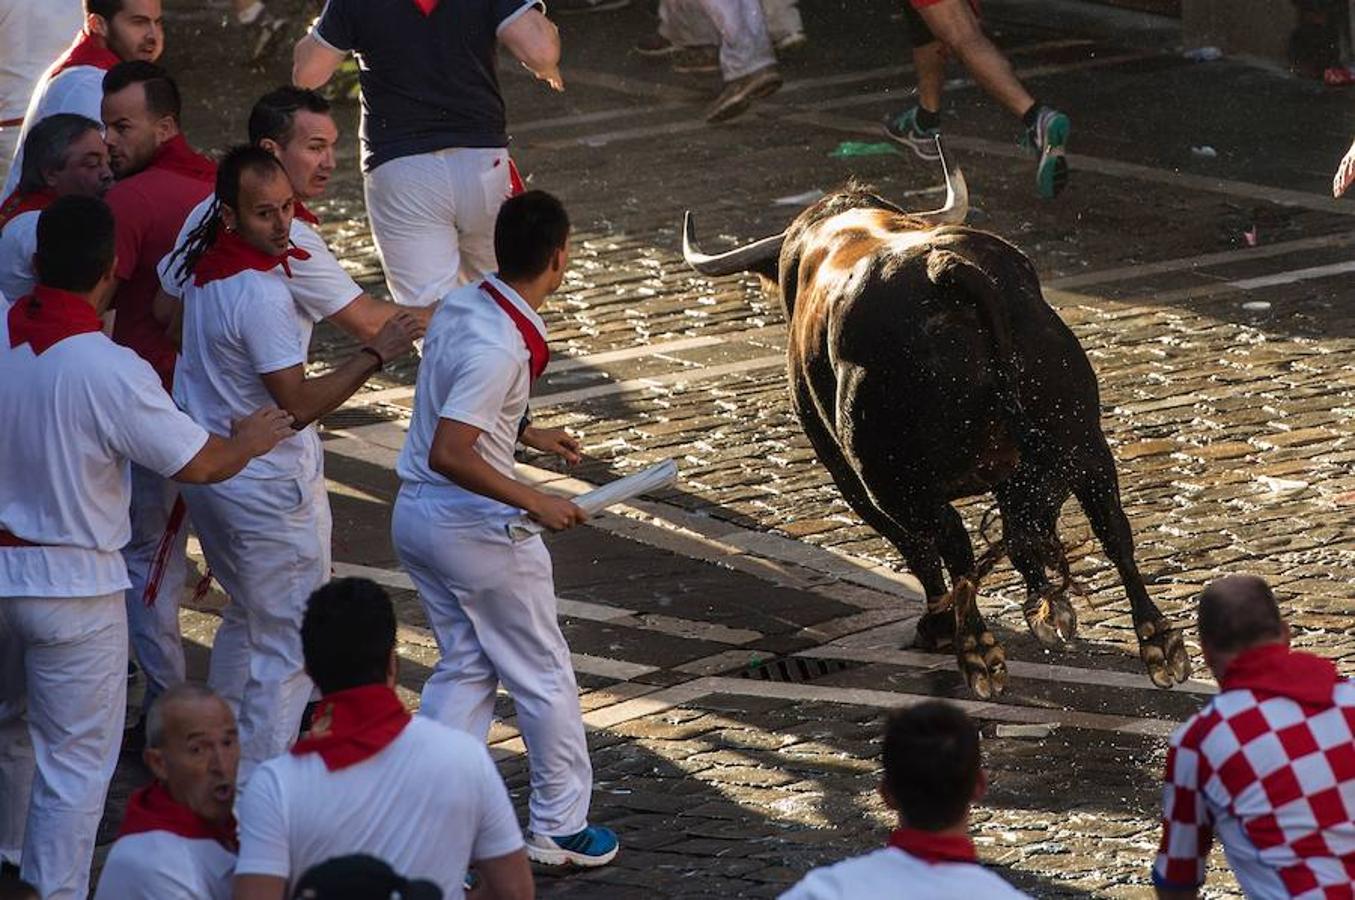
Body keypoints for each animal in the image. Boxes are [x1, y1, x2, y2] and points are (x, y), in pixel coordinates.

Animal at [682, 144, 1192, 699]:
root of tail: (944, 270)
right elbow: (1025, 533)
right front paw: (1045, 605)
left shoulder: (849, 472)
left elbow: (918, 547)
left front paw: (946, 624)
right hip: (1081, 439)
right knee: (1110, 526)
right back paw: (1158, 643)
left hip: (895, 478)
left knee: (951, 544)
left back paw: (974, 649)